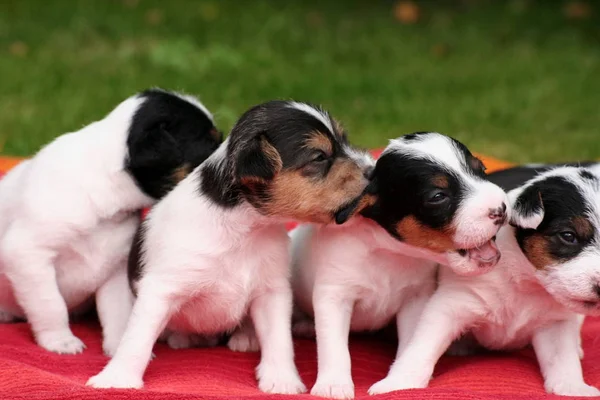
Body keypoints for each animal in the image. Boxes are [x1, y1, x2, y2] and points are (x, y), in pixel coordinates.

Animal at [0, 89, 223, 354]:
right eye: (209, 143)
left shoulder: (115, 269)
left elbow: (118, 312)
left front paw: (118, 346)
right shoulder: (28, 253)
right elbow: (50, 303)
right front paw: (60, 340)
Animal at [86, 100, 372, 394]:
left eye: (344, 139)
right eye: (319, 157)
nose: (373, 169)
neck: (244, 229)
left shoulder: (272, 291)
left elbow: (279, 339)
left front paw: (282, 379)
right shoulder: (160, 289)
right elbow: (136, 339)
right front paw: (117, 378)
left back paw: (246, 336)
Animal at [288, 132, 508, 400]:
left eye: (482, 169)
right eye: (438, 197)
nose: (501, 209)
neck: (388, 253)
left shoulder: (415, 300)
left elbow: (412, 340)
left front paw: (402, 380)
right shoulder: (334, 295)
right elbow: (334, 346)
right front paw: (333, 384)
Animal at [372, 166, 600, 396]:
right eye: (568, 236)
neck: (523, 281)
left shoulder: (555, 322)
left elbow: (563, 358)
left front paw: (573, 388)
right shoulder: (451, 303)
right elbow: (422, 345)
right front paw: (400, 383)